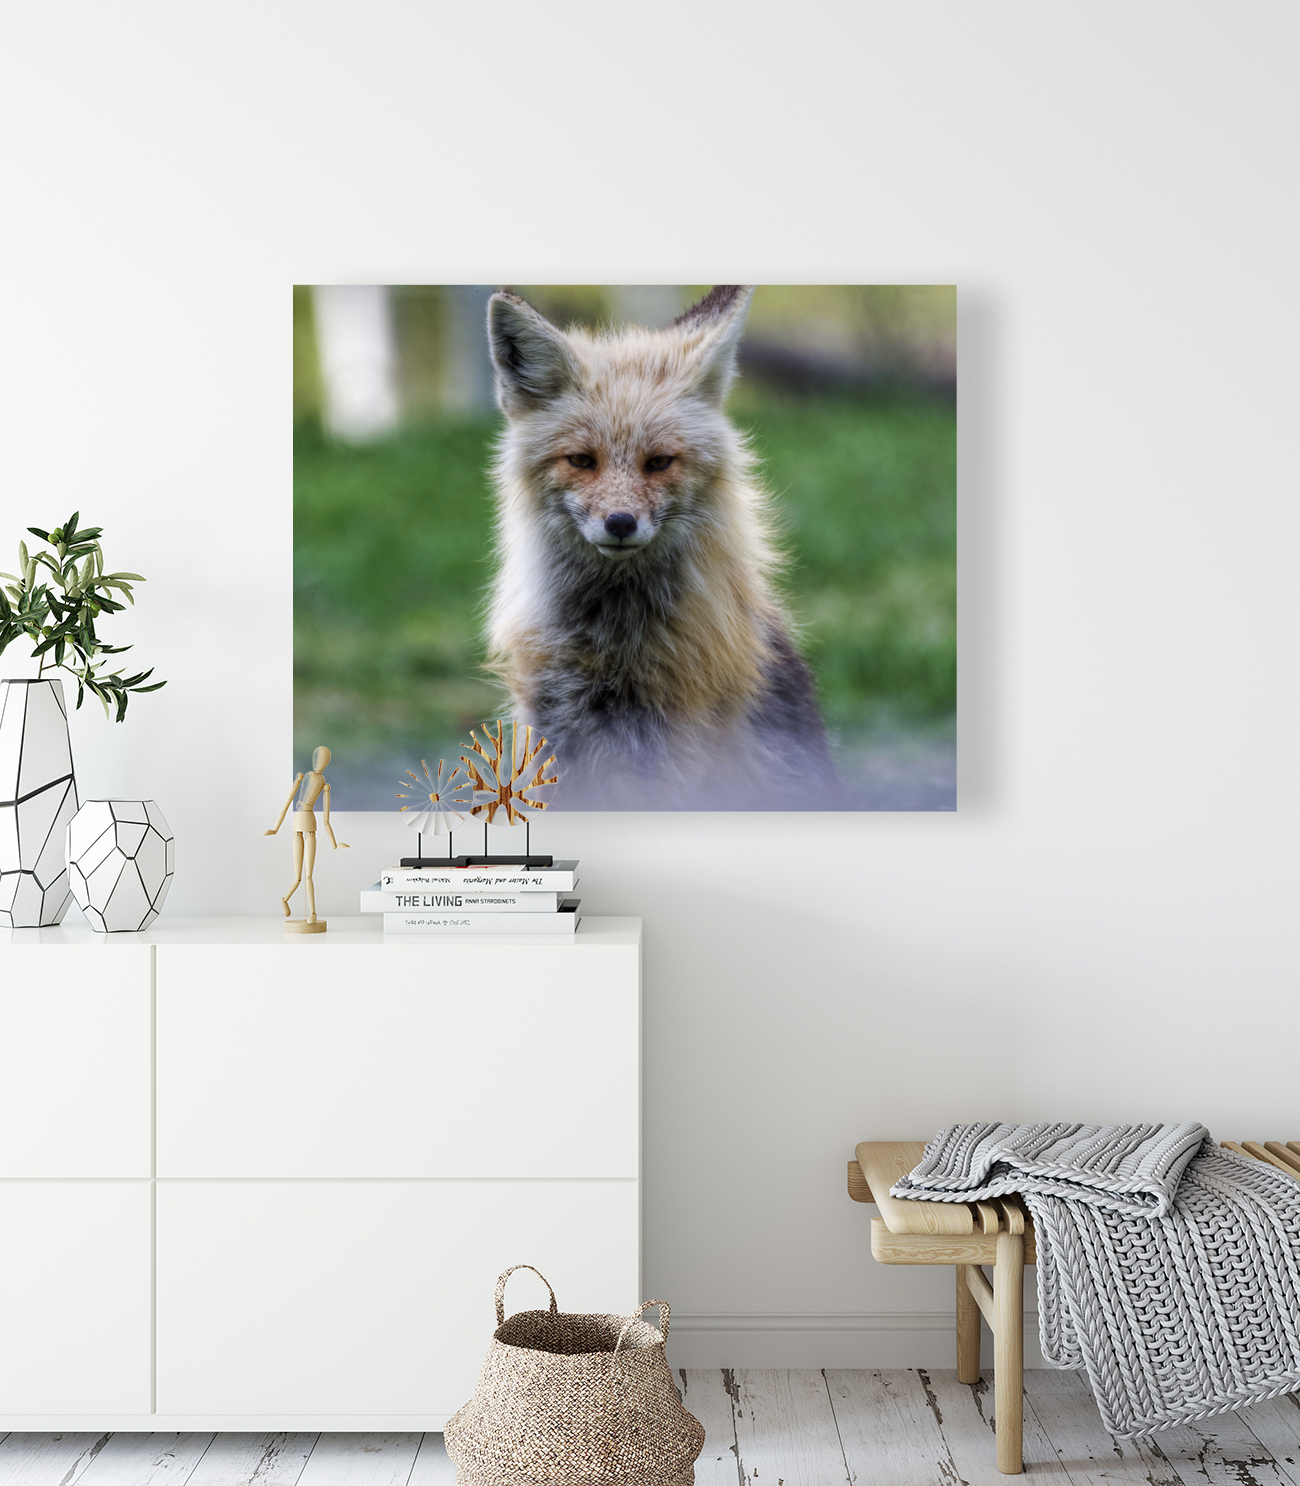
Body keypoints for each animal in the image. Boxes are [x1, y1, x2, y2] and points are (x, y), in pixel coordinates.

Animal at [484, 285, 838, 809]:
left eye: (659, 462)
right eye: (581, 460)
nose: (620, 523)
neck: (612, 646)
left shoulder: (668, 753)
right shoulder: (555, 737)